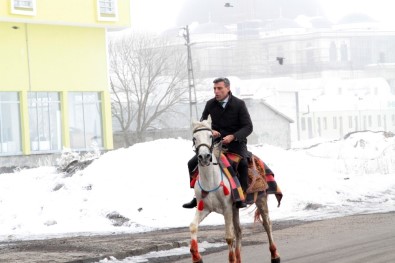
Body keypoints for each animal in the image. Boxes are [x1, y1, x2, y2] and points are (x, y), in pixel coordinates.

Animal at [189, 118, 280, 263]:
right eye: (194, 138)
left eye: (210, 136)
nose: (204, 157)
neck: (211, 180)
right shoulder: (204, 208)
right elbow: (192, 227)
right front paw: (196, 257)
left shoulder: (226, 208)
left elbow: (229, 237)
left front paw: (231, 259)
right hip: (235, 208)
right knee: (239, 231)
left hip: (261, 199)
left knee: (267, 224)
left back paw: (275, 256)